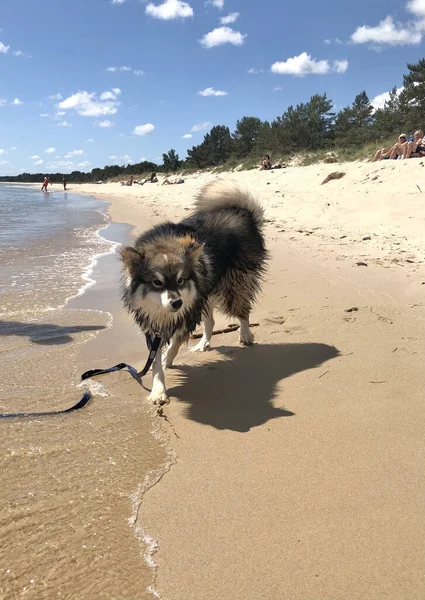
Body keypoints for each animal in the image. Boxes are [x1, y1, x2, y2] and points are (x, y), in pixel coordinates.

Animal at [119, 178, 266, 404]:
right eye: (157, 282)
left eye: (181, 279)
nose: (177, 303)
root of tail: (243, 213)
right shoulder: (154, 322)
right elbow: (155, 362)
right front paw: (158, 390)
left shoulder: (188, 311)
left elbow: (175, 344)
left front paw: (168, 359)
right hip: (206, 293)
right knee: (211, 321)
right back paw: (203, 343)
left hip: (232, 285)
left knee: (242, 310)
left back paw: (246, 334)